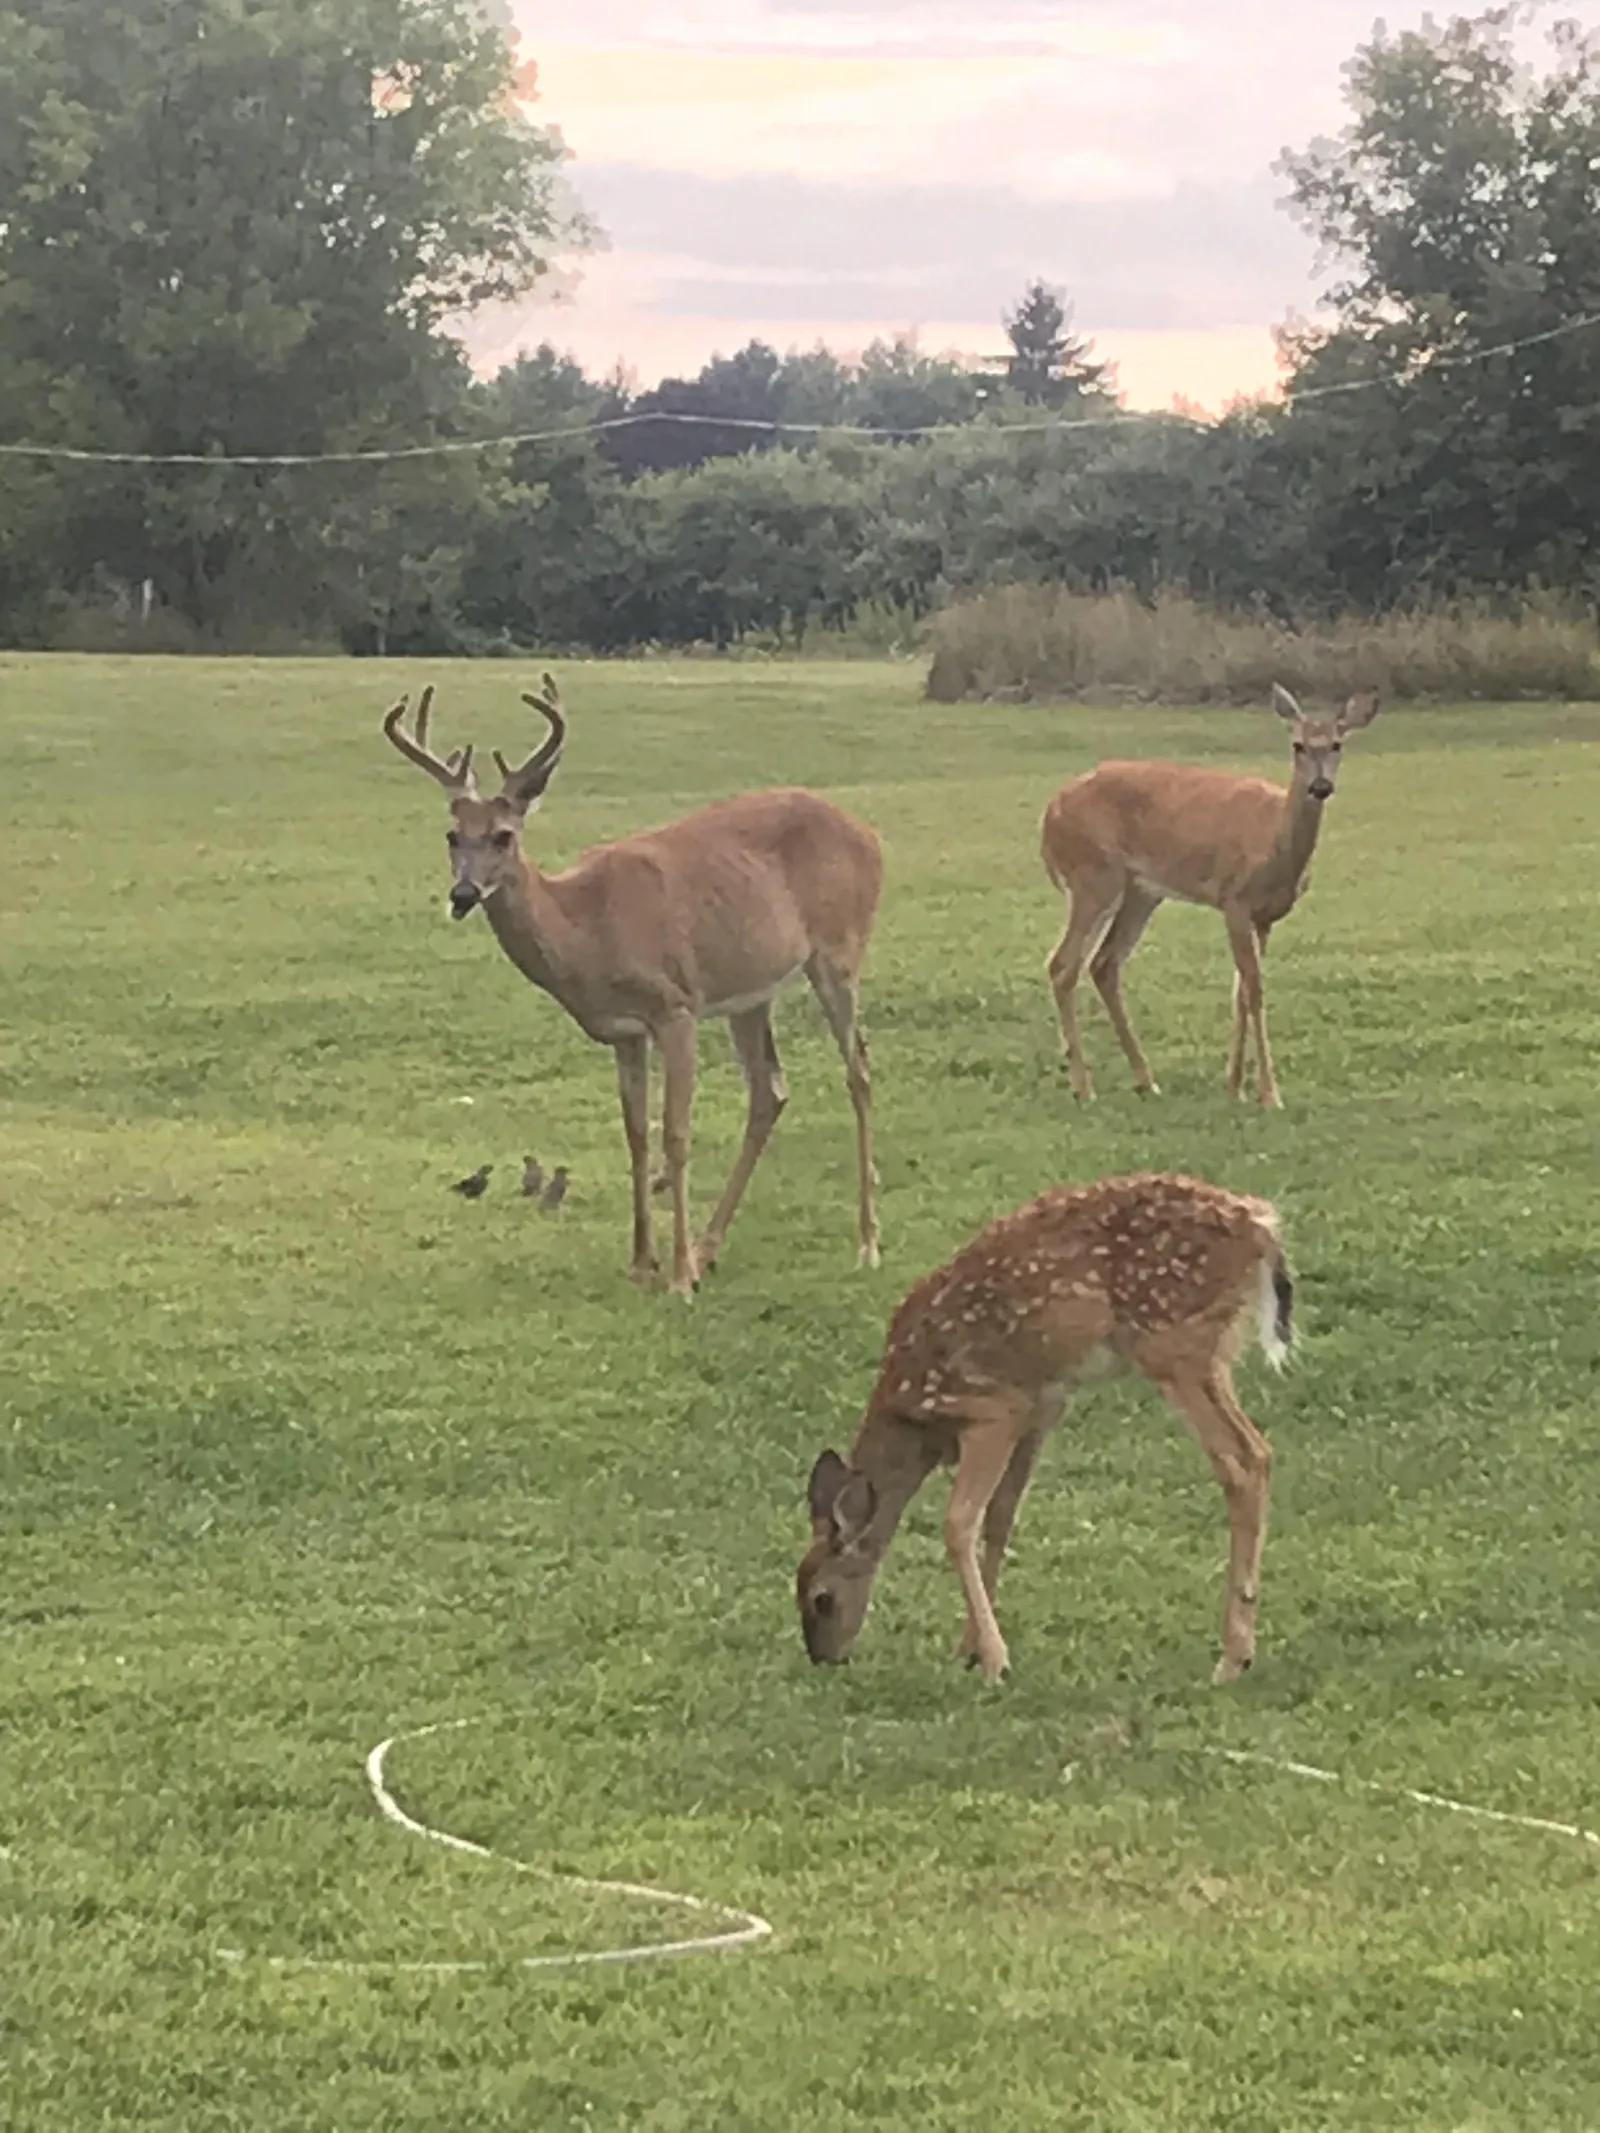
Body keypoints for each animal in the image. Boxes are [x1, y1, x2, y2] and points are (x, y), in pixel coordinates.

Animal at [382, 676, 883, 1298]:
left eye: (503, 836)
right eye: (452, 834)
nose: (463, 894)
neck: (587, 926)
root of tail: (872, 836)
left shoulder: (676, 1006)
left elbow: (676, 1134)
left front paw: (677, 1278)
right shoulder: (624, 1032)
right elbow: (637, 1135)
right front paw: (643, 1263)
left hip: (838, 952)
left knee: (858, 1070)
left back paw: (865, 1244)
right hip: (750, 992)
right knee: (770, 1091)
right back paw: (710, 1247)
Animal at [797, 1171, 1292, 1688]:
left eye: (821, 1599)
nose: (824, 1657)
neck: (913, 1420)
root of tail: (1262, 1229)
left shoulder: (991, 1410)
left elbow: (958, 1523)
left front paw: (994, 1660)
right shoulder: (1040, 1407)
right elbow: (1000, 1516)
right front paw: (970, 1646)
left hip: (1173, 1345)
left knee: (1239, 1462)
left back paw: (1233, 1657)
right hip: (1208, 1356)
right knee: (1259, 1451)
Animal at [1040, 684, 1380, 1108]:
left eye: (1337, 744)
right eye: (1298, 745)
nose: (1320, 787)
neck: (1273, 848)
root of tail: (1048, 816)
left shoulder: (1264, 917)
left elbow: (1241, 993)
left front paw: (1234, 1087)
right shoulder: (1233, 899)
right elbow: (1254, 990)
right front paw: (1269, 1094)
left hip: (1141, 891)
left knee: (1104, 964)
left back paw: (1146, 1081)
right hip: (1093, 876)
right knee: (1062, 965)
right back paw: (1084, 1087)